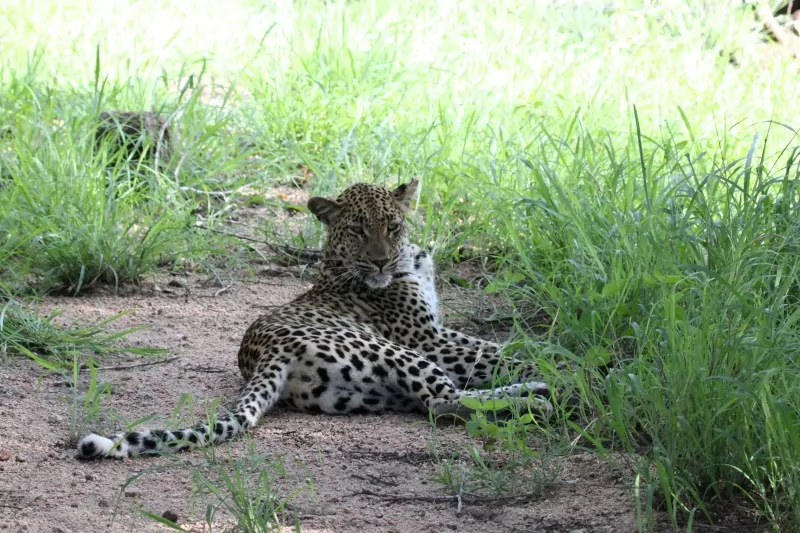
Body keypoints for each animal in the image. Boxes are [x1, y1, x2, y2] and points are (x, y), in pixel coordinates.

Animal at [76, 179, 551, 460]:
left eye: (392, 225)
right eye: (357, 229)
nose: (380, 261)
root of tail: (266, 353)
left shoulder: (437, 330)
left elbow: (500, 346)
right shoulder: (425, 338)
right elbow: (501, 352)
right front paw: (561, 363)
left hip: (363, 395)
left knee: (436, 401)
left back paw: (534, 392)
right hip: (391, 351)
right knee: (441, 402)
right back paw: (539, 397)